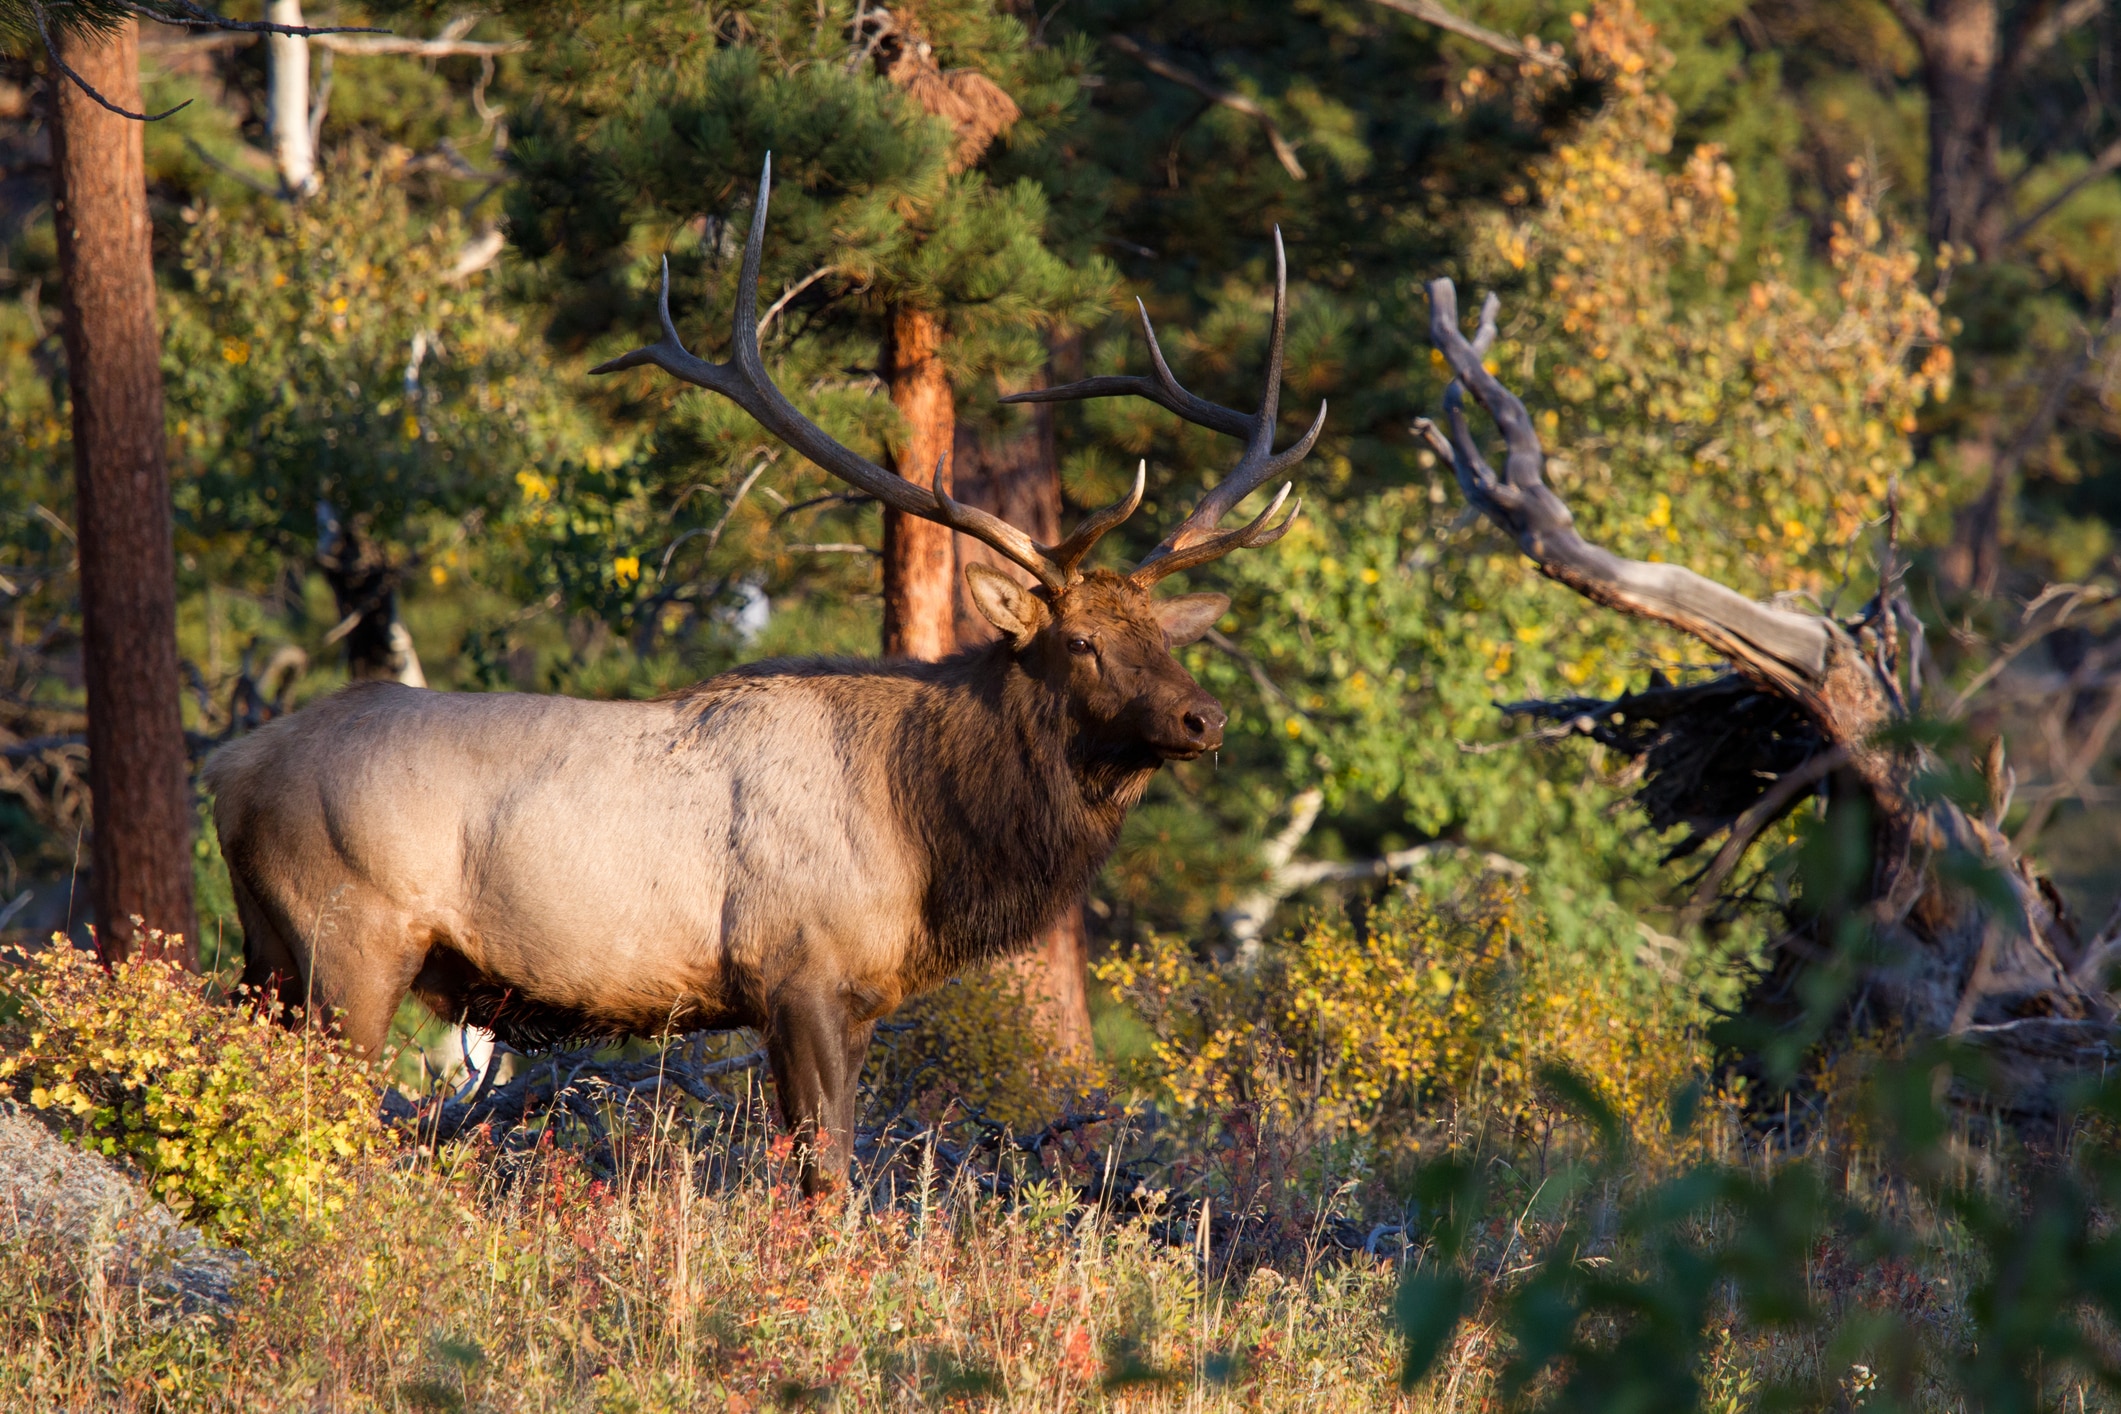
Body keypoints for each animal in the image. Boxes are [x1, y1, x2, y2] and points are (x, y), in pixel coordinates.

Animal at [204, 157, 1323, 1191]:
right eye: (1081, 639)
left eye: (1166, 636)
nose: (1204, 717)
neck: (931, 834)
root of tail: (228, 770)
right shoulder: (799, 973)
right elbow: (824, 1175)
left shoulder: (857, 999)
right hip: (350, 942)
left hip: (269, 954)